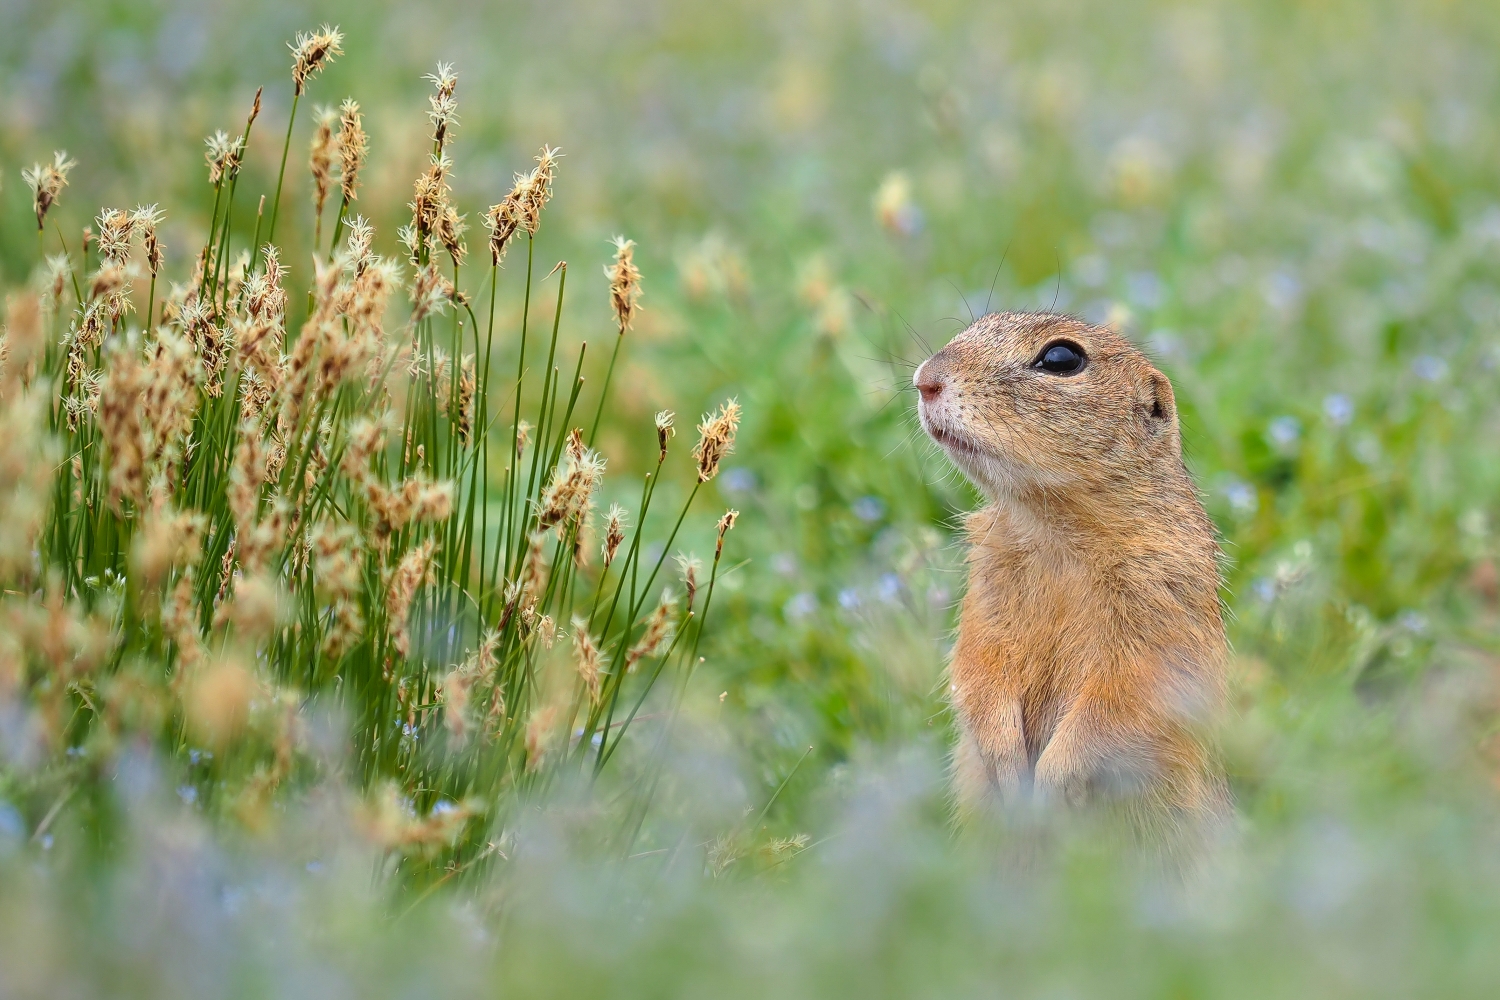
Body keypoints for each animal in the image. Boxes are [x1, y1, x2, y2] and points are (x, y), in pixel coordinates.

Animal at [912, 310, 1230, 839]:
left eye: (1062, 358)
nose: (925, 380)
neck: (1054, 531)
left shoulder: (1164, 593)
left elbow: (1126, 695)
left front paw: (1050, 786)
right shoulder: (985, 590)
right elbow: (975, 665)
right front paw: (1008, 767)